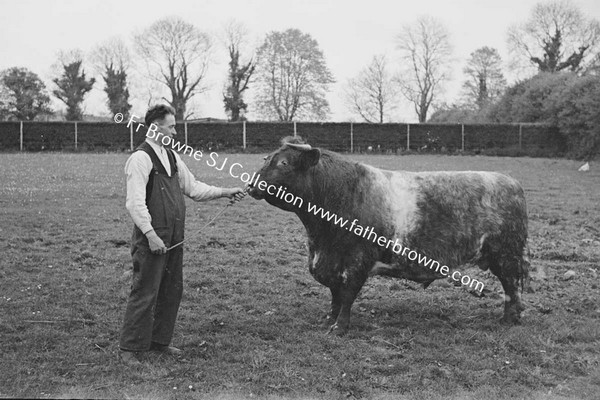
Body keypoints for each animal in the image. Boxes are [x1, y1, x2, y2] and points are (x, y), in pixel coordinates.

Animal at [248, 137, 528, 334]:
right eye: (266, 158)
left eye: (283, 163)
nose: (251, 185)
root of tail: (511, 182)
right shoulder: (331, 262)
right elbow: (335, 296)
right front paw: (330, 319)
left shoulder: (357, 261)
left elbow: (347, 295)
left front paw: (339, 328)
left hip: (507, 255)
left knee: (512, 287)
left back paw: (509, 319)